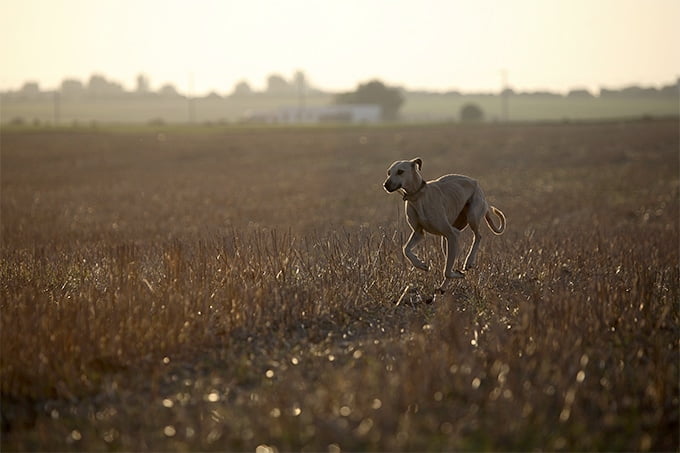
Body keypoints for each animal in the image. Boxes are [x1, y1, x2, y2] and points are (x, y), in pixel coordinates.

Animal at [382, 157, 504, 292]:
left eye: (400, 171)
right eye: (388, 173)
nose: (386, 185)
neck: (419, 196)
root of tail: (475, 183)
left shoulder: (453, 234)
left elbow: (447, 271)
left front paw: (458, 273)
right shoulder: (419, 233)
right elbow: (406, 249)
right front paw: (421, 264)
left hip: (471, 216)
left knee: (478, 236)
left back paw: (469, 261)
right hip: (445, 239)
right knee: (450, 258)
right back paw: (443, 287)